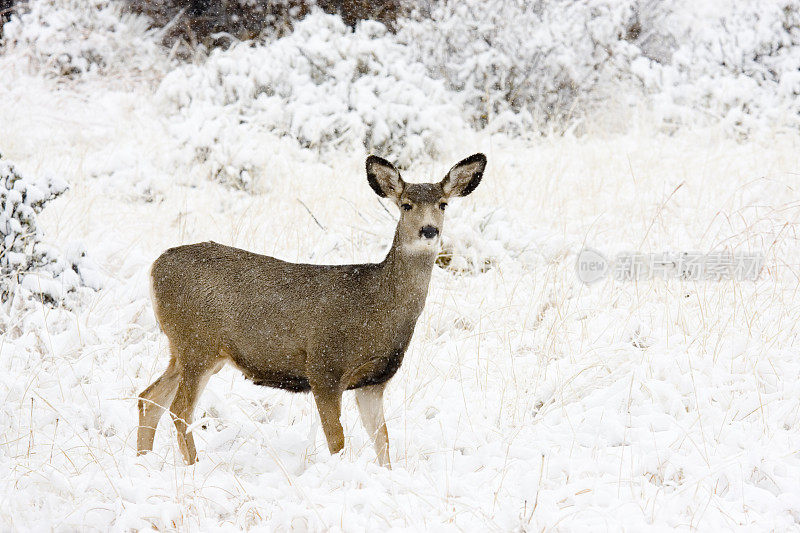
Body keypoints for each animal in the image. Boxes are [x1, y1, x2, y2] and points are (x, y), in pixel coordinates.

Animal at [138, 151, 488, 466]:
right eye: (406, 205)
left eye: (443, 204)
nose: (429, 231)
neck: (378, 308)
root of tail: (156, 265)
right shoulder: (325, 367)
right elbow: (338, 440)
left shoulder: (373, 382)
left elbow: (383, 441)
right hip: (198, 343)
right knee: (179, 410)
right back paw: (193, 466)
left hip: (185, 349)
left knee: (149, 398)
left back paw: (143, 461)